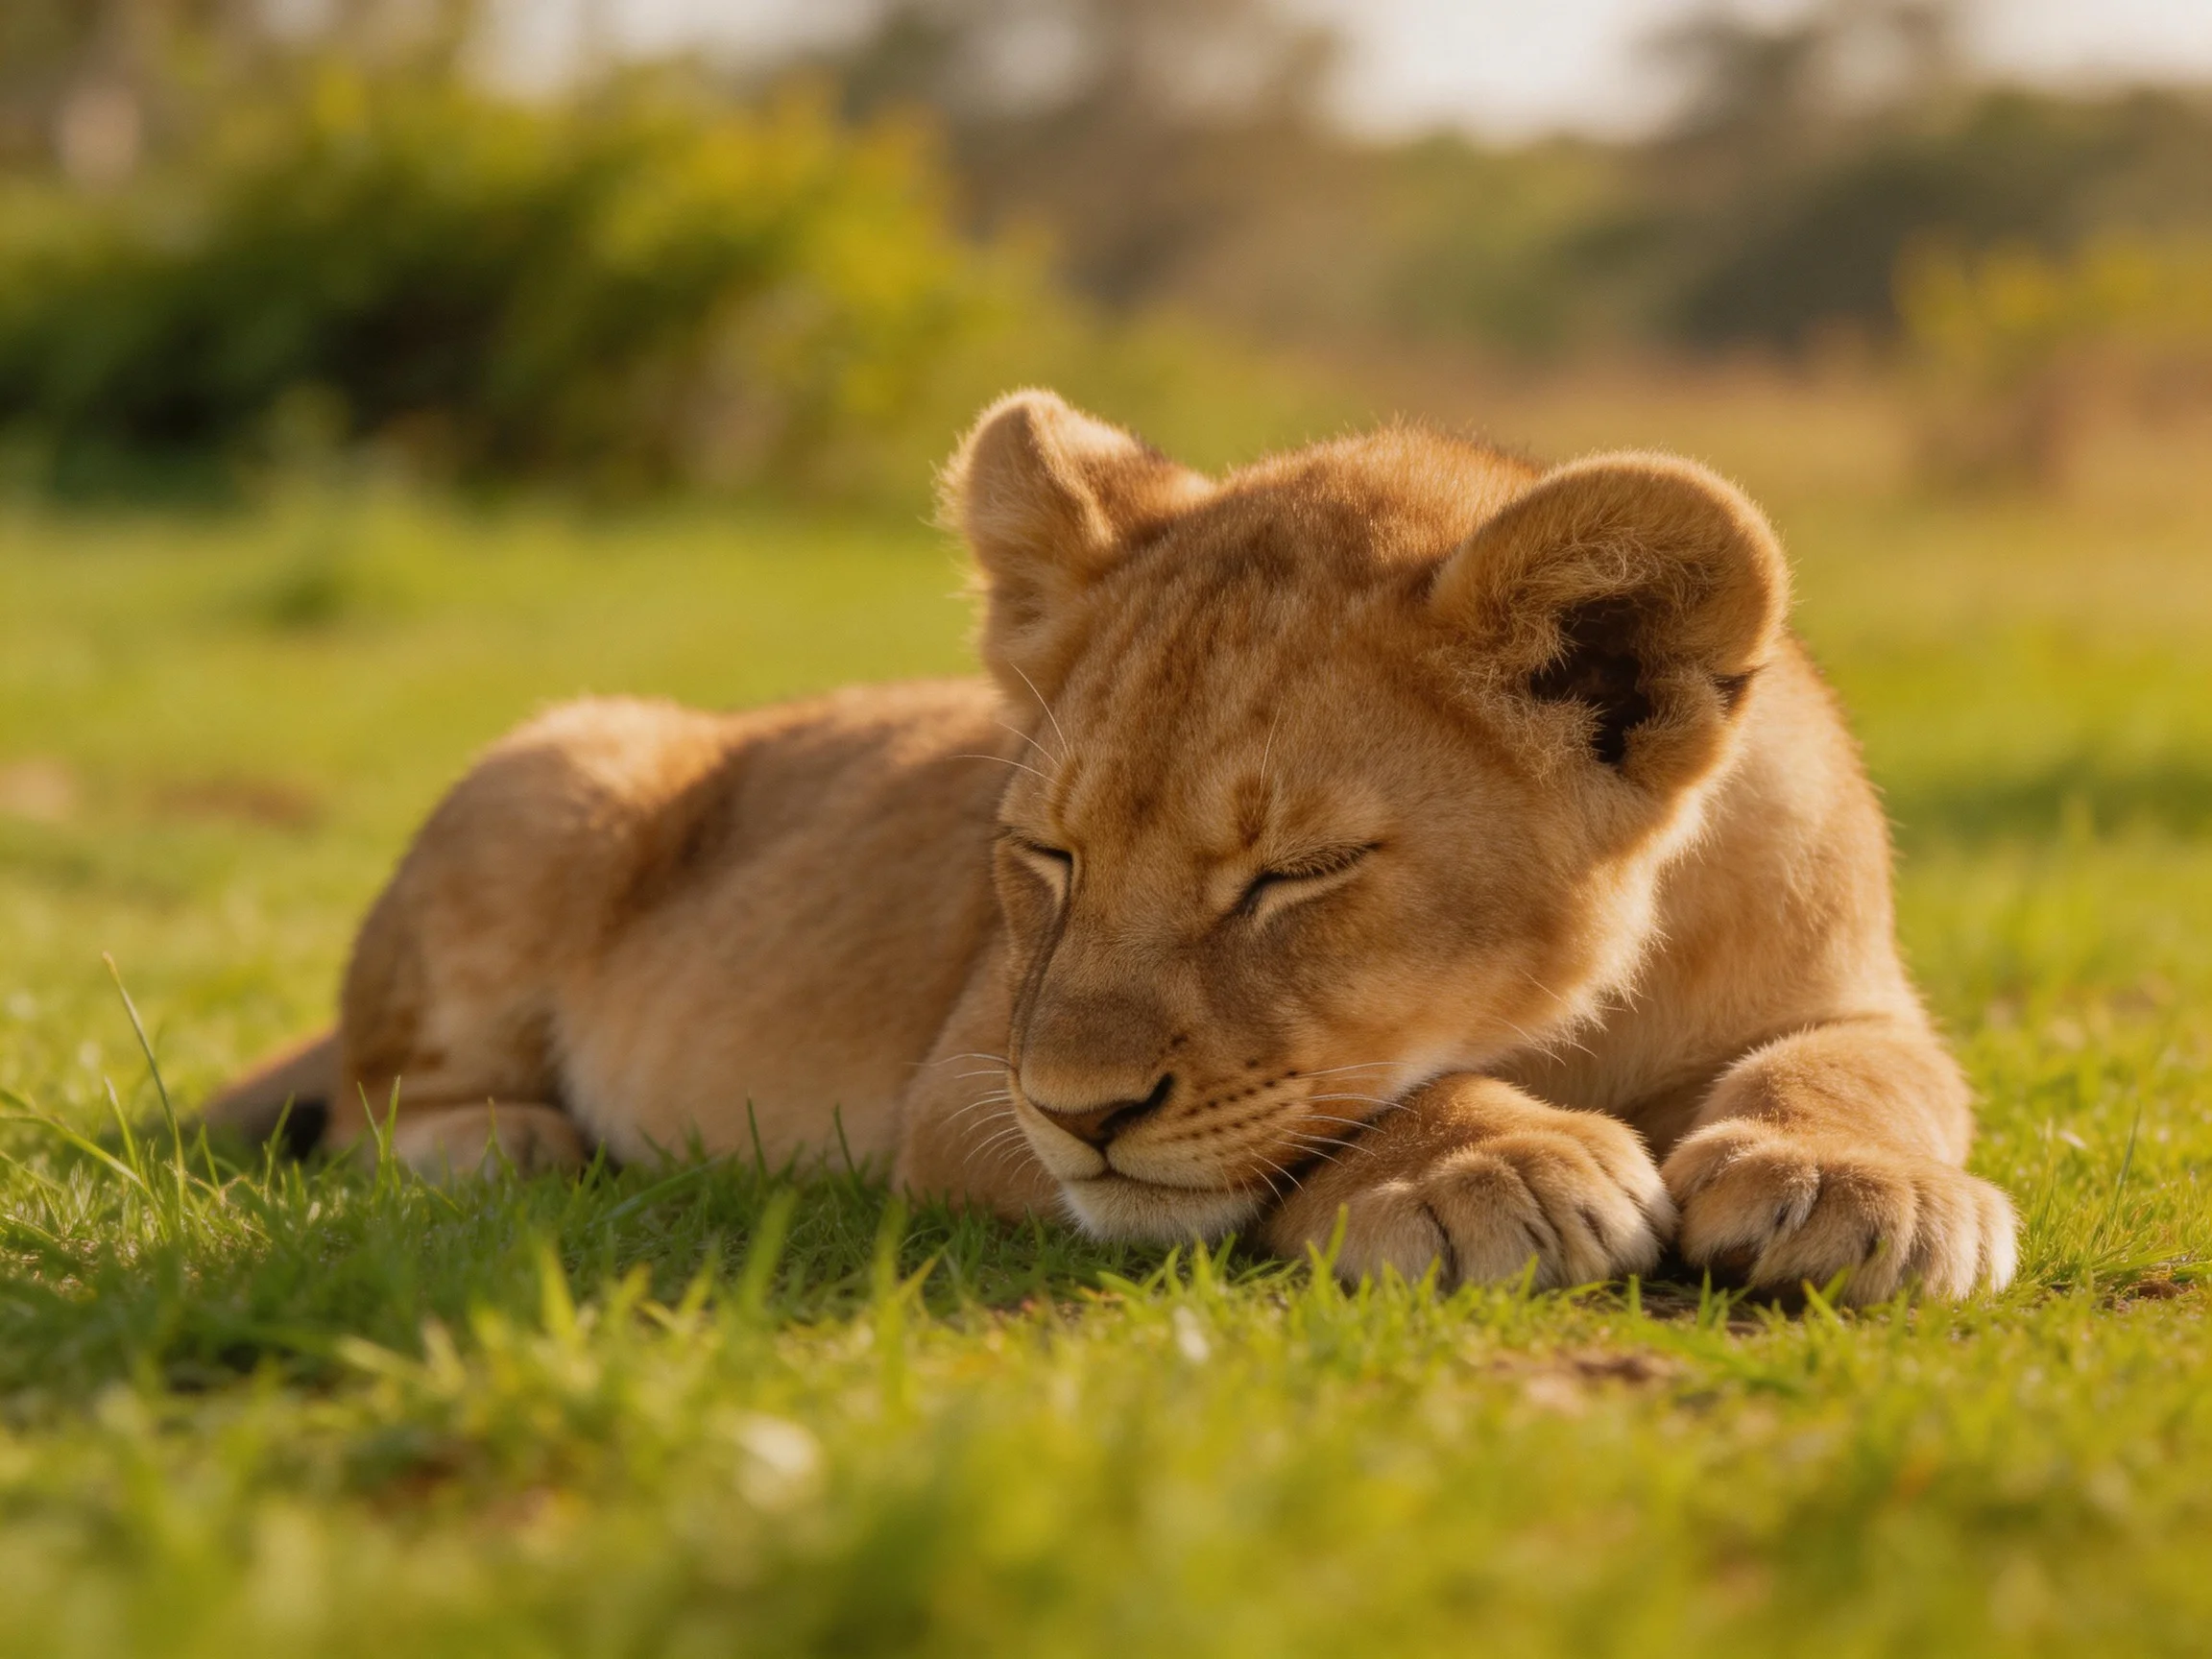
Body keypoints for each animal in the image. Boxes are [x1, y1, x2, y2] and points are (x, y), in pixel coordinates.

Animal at [207, 390, 2020, 1303]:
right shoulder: (961, 1081)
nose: (1080, 1115)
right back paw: (513, 1142)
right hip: (561, 760)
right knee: (375, 1099)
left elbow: (1862, 1068)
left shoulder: (1852, 989)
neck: (1570, 1000)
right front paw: (1484, 1165)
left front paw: (1855, 1186)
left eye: (1292, 876)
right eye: (1048, 856)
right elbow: (1326, 1116)